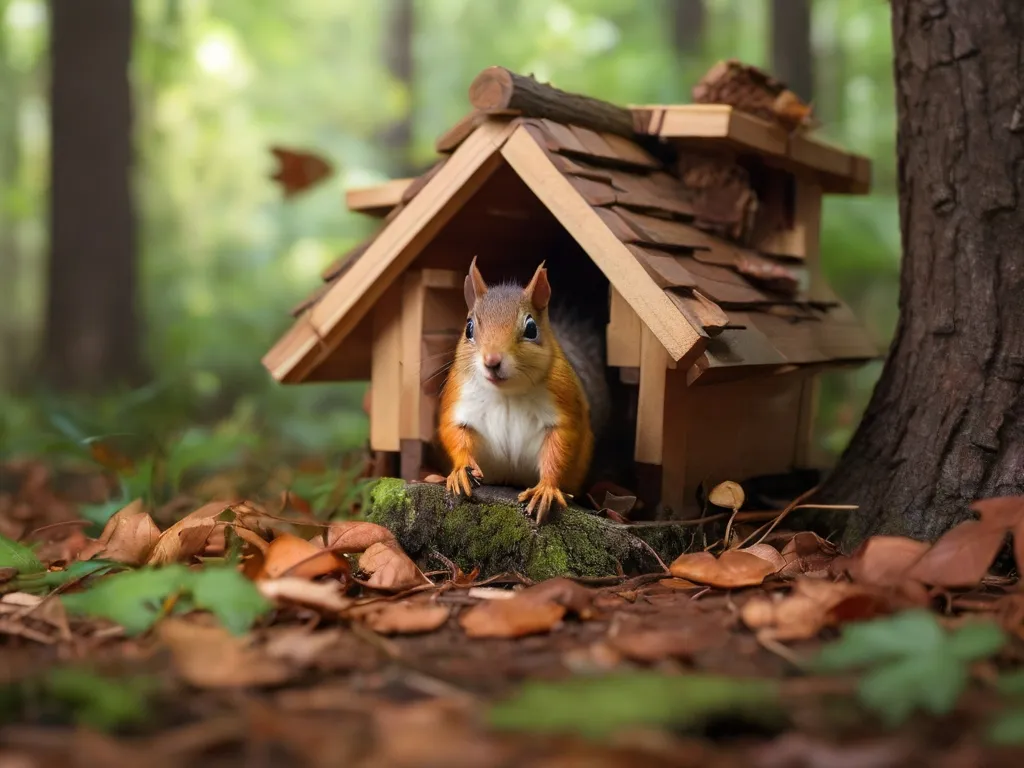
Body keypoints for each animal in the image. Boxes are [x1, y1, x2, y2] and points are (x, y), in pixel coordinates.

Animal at [438, 259, 606, 524]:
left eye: (531, 328)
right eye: (469, 328)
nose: (492, 360)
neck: (506, 393)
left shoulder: (562, 405)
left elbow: (559, 448)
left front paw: (545, 489)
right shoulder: (459, 399)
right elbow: (454, 433)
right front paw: (461, 471)